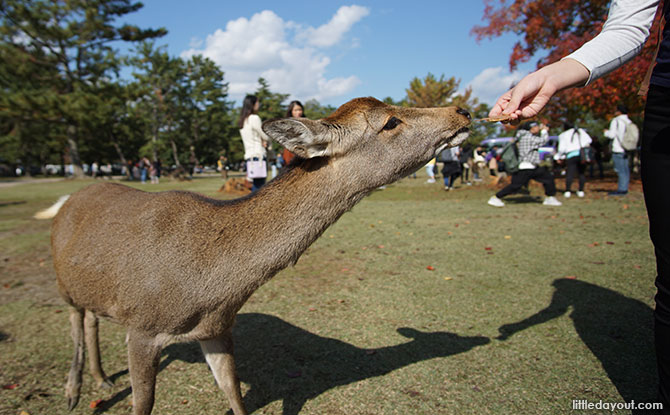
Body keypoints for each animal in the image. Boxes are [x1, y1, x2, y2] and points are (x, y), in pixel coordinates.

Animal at [47, 96, 470, 414]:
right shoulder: (142, 327)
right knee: (74, 321)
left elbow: (233, 393)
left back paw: (102, 379)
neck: (211, 286)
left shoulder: (217, 329)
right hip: (62, 283)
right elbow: (143, 404)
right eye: (390, 121)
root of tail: (66, 201)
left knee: (91, 318)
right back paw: (72, 392)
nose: (462, 110)